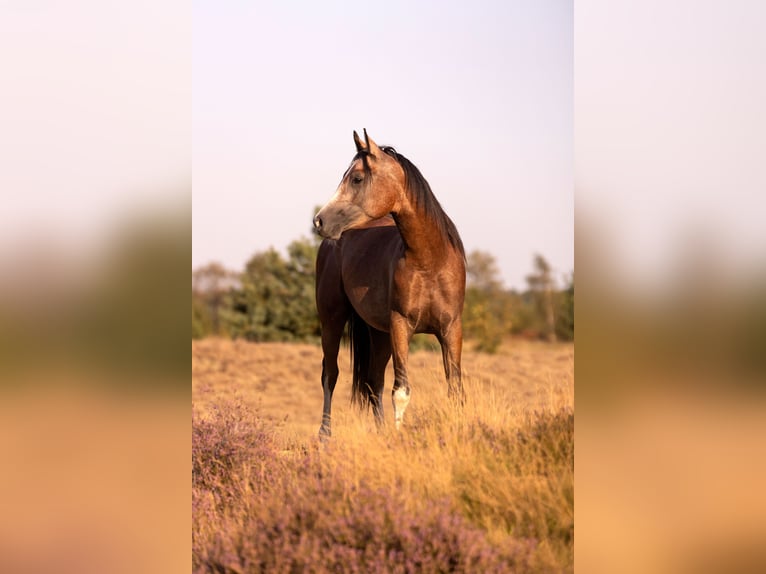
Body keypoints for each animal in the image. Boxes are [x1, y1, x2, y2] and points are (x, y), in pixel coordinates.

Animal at [314, 130, 468, 436]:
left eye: (357, 178)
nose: (320, 220)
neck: (430, 261)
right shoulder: (401, 326)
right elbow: (402, 391)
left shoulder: (451, 329)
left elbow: (454, 388)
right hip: (333, 320)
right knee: (330, 374)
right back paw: (325, 435)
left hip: (379, 333)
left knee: (374, 380)